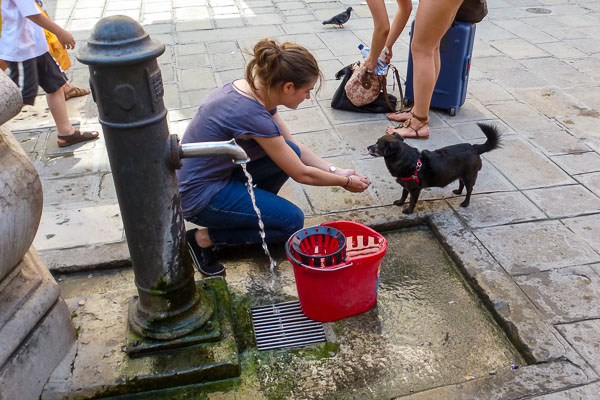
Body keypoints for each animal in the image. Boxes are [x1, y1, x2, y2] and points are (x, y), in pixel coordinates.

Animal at [366, 123, 502, 214]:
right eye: (375, 142)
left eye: (377, 145)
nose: (367, 147)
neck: (404, 159)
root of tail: (474, 148)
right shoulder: (406, 185)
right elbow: (404, 195)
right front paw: (400, 203)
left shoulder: (415, 189)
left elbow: (412, 200)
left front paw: (408, 211)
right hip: (461, 173)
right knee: (461, 182)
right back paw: (458, 192)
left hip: (470, 176)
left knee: (469, 189)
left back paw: (465, 203)